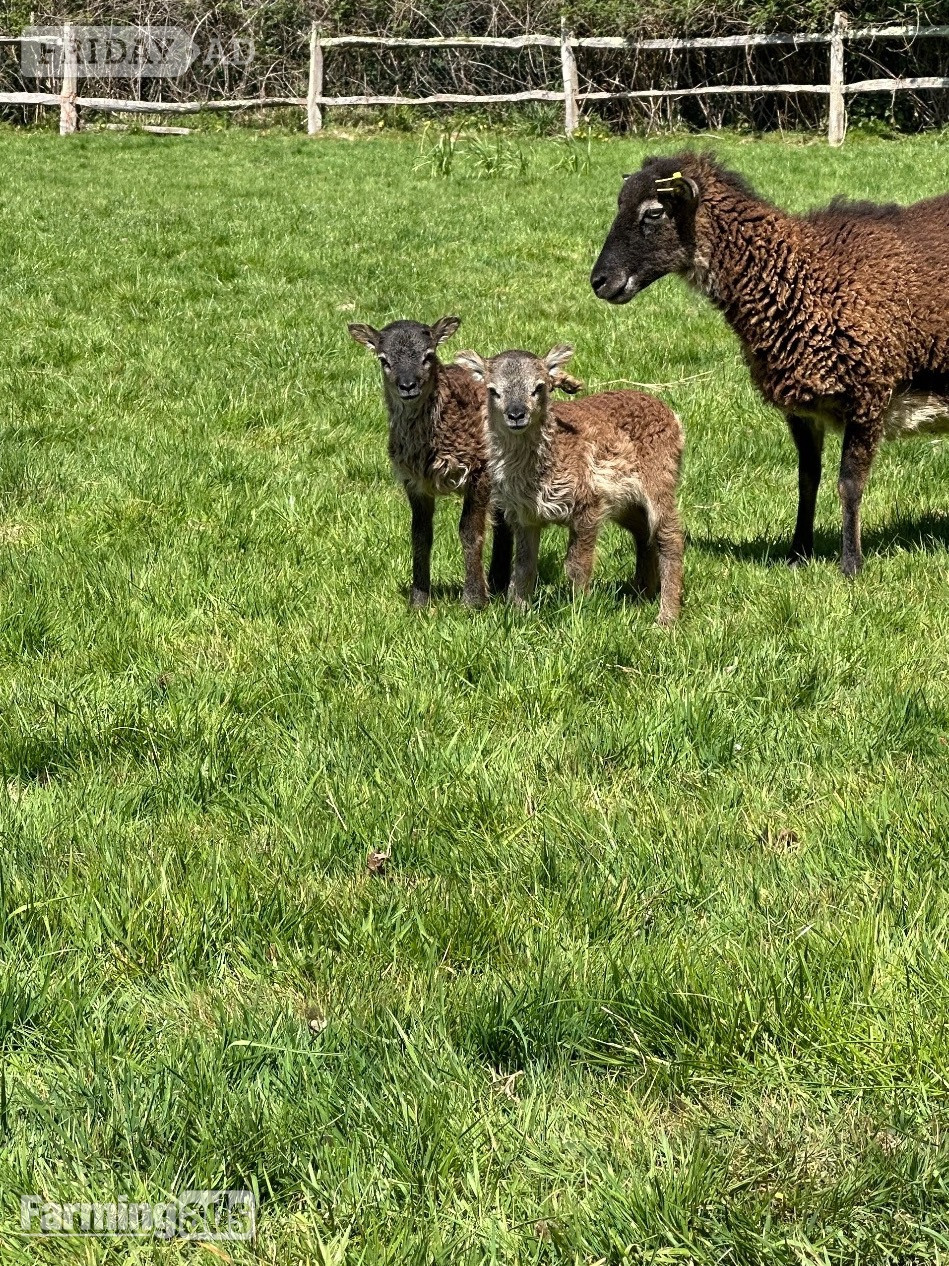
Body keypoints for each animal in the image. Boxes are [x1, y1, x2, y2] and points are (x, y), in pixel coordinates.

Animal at [348, 316, 512, 608]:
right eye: (383, 359)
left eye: (429, 355)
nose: (408, 386)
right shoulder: (415, 481)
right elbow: (420, 535)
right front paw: (418, 602)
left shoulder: (479, 470)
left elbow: (470, 532)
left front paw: (473, 601)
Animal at [455, 344, 685, 624]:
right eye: (493, 390)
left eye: (538, 387)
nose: (516, 414)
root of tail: (672, 416)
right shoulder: (525, 515)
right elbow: (523, 565)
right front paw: (518, 612)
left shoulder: (589, 502)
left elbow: (576, 565)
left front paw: (579, 610)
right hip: (625, 501)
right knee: (644, 531)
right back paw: (642, 593)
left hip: (660, 477)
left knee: (669, 535)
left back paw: (666, 617)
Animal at [590, 153, 949, 577]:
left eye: (654, 212)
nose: (598, 281)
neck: (804, 278)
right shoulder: (803, 408)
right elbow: (807, 480)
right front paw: (797, 555)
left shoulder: (868, 393)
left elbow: (849, 484)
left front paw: (851, 565)